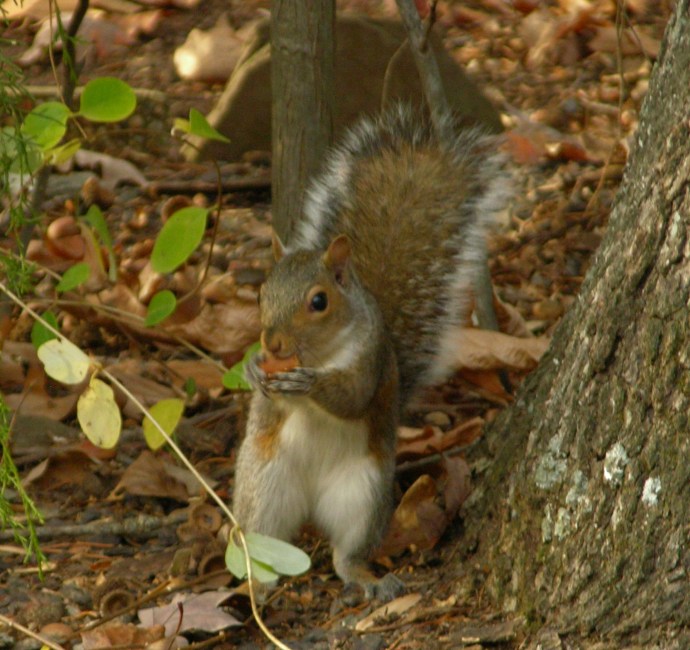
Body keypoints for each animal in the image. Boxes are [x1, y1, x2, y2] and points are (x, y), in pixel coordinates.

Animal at [233, 104, 510, 601]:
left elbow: (353, 395)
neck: (320, 351)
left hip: (361, 496)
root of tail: (311, 506)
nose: (272, 343)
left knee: (347, 553)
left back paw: (366, 578)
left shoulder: (372, 356)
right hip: (263, 484)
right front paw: (253, 370)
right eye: (262, 292)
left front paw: (309, 383)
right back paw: (257, 585)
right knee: (262, 541)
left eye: (318, 301)